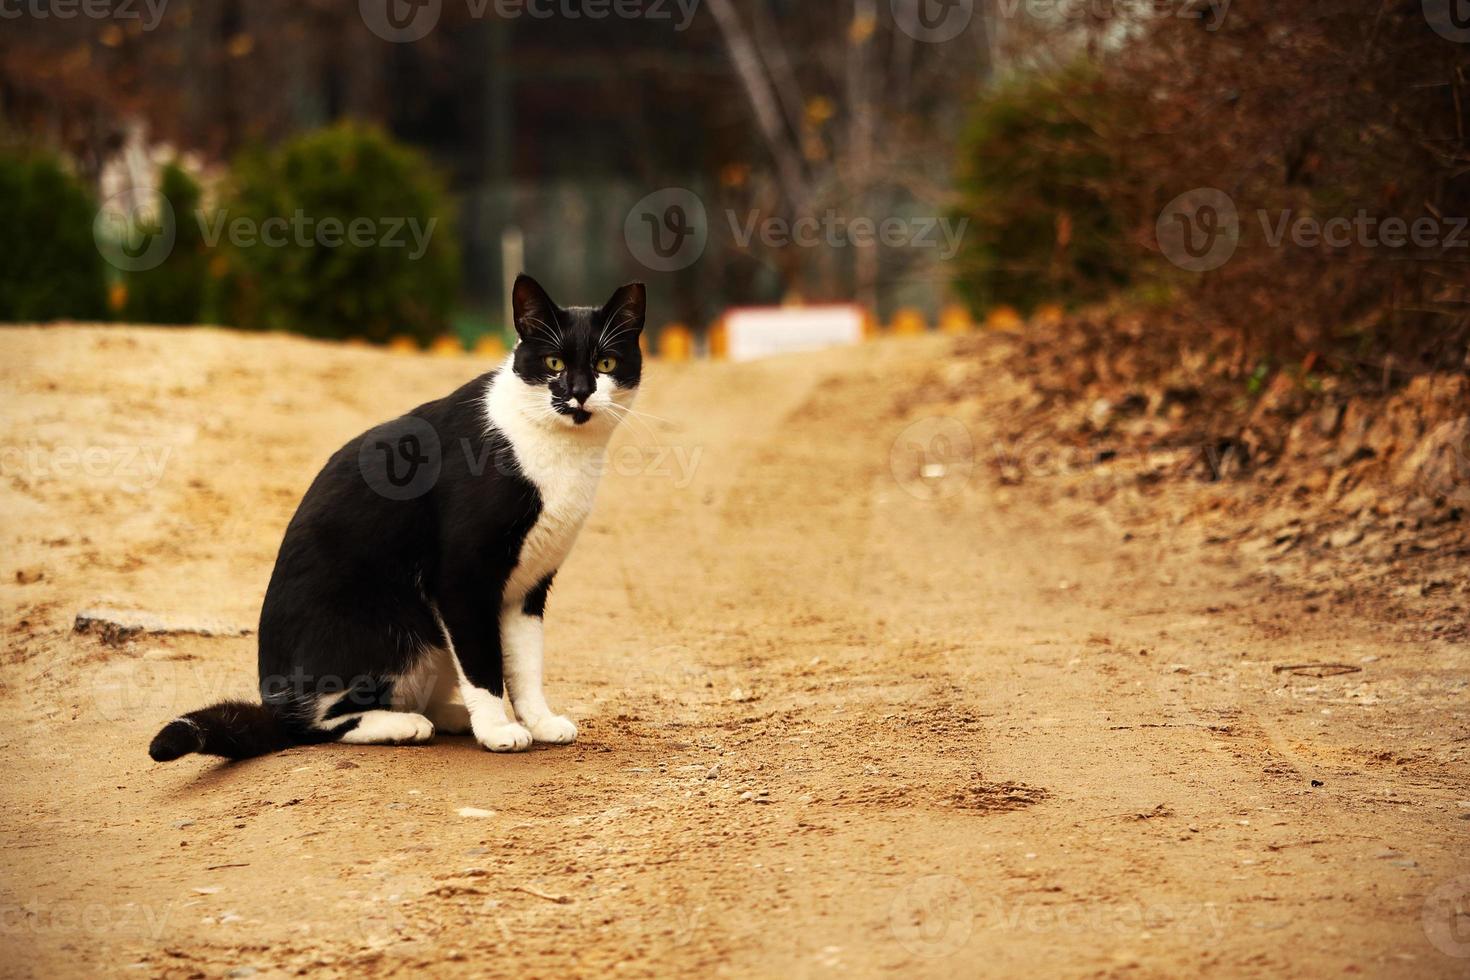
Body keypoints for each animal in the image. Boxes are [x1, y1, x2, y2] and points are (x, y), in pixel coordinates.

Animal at [147, 276, 643, 764]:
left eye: (606, 362)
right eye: (554, 362)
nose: (579, 392)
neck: (556, 450)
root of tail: (276, 702)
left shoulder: (528, 586)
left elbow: (525, 663)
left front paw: (538, 721)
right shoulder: (462, 579)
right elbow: (483, 663)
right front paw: (498, 731)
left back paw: (446, 715)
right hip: (391, 628)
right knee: (316, 724)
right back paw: (406, 724)